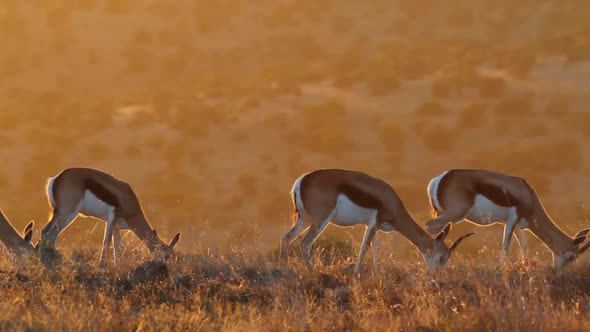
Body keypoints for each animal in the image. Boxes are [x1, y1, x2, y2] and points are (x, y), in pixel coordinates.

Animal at [39, 167, 180, 266]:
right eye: (167, 256)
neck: (128, 202)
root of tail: (56, 179)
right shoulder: (111, 218)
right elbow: (106, 242)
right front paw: (101, 266)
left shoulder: (117, 226)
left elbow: (117, 247)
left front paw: (116, 267)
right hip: (68, 213)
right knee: (50, 234)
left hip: (57, 212)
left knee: (45, 232)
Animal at [280, 170, 478, 274]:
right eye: (442, 257)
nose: (437, 276)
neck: (389, 200)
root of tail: (301, 181)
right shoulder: (375, 222)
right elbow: (364, 247)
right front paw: (356, 273)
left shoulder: (373, 225)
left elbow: (375, 247)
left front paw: (377, 272)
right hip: (320, 220)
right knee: (305, 243)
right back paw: (312, 271)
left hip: (305, 219)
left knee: (286, 238)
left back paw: (283, 269)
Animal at [426, 169, 590, 268]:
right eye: (572, 257)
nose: (559, 272)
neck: (528, 195)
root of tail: (438, 180)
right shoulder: (512, 220)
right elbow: (506, 244)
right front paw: (501, 268)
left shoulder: (518, 225)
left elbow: (524, 245)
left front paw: (527, 265)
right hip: (455, 215)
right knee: (430, 225)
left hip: (445, 216)